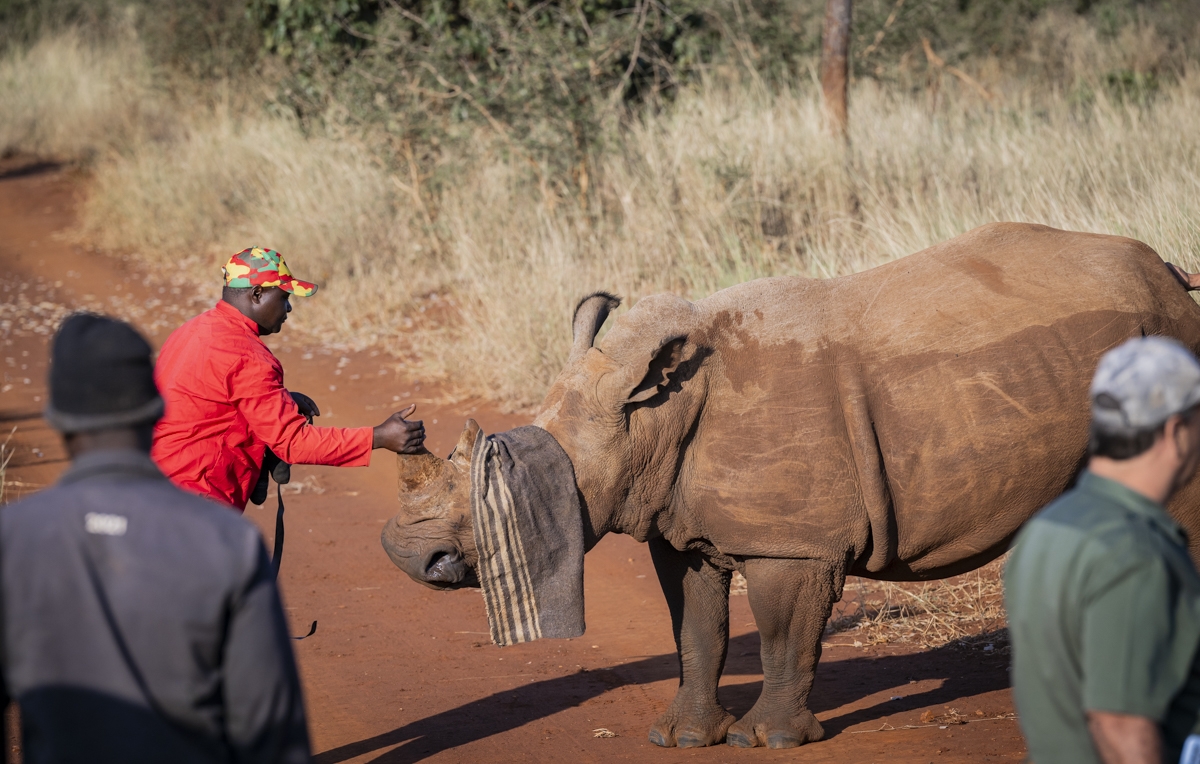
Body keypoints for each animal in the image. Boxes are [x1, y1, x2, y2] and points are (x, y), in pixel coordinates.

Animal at [381, 223, 1200, 749]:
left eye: (496, 491)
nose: (404, 558)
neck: (648, 419)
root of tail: (1173, 277)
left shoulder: (791, 543)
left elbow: (780, 637)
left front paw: (769, 740)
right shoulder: (680, 527)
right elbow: (697, 632)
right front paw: (680, 737)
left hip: (1171, 346)